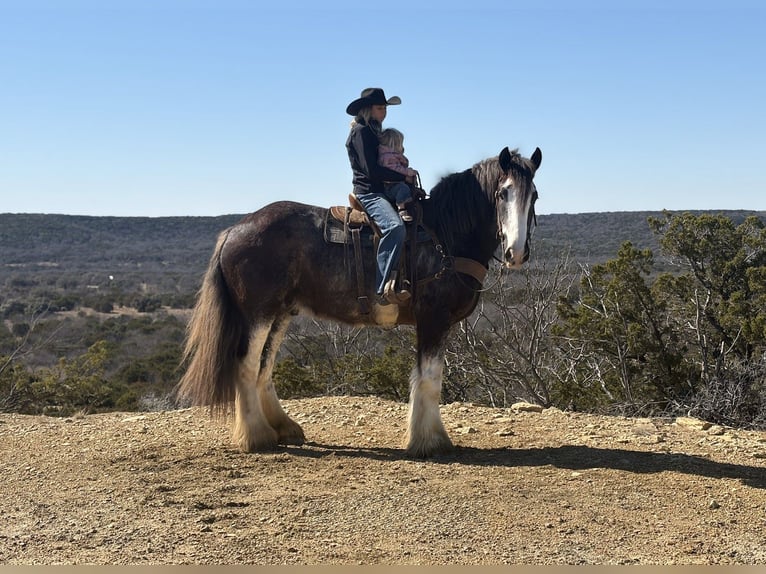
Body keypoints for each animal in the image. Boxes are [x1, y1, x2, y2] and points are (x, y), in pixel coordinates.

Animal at [177, 146, 542, 458]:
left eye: (534, 195)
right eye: (502, 193)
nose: (516, 252)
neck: (443, 236)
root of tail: (233, 231)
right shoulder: (433, 320)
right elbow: (428, 379)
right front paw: (429, 441)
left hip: (281, 313)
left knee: (264, 368)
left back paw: (283, 428)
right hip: (258, 314)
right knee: (247, 365)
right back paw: (257, 437)